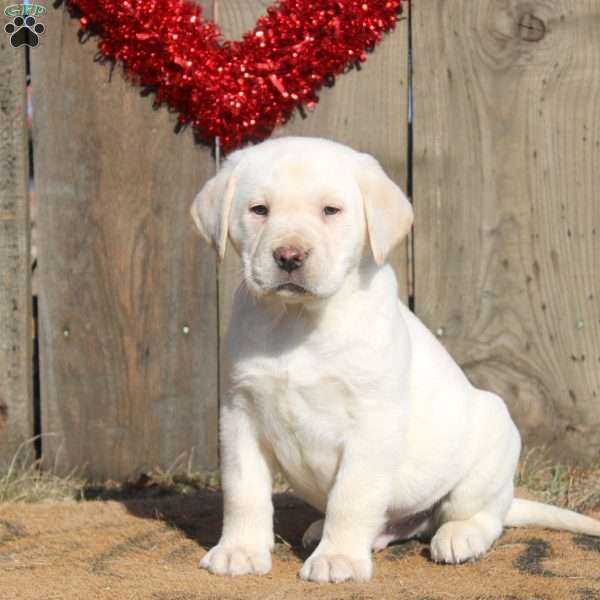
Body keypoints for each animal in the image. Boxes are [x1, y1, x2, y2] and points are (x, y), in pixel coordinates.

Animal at [191, 138, 600, 584]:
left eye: (330, 210)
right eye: (259, 210)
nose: (289, 255)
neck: (297, 322)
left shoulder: (372, 421)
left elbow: (351, 496)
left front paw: (338, 559)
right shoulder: (240, 414)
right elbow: (243, 491)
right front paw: (240, 550)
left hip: (490, 447)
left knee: (481, 515)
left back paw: (459, 536)